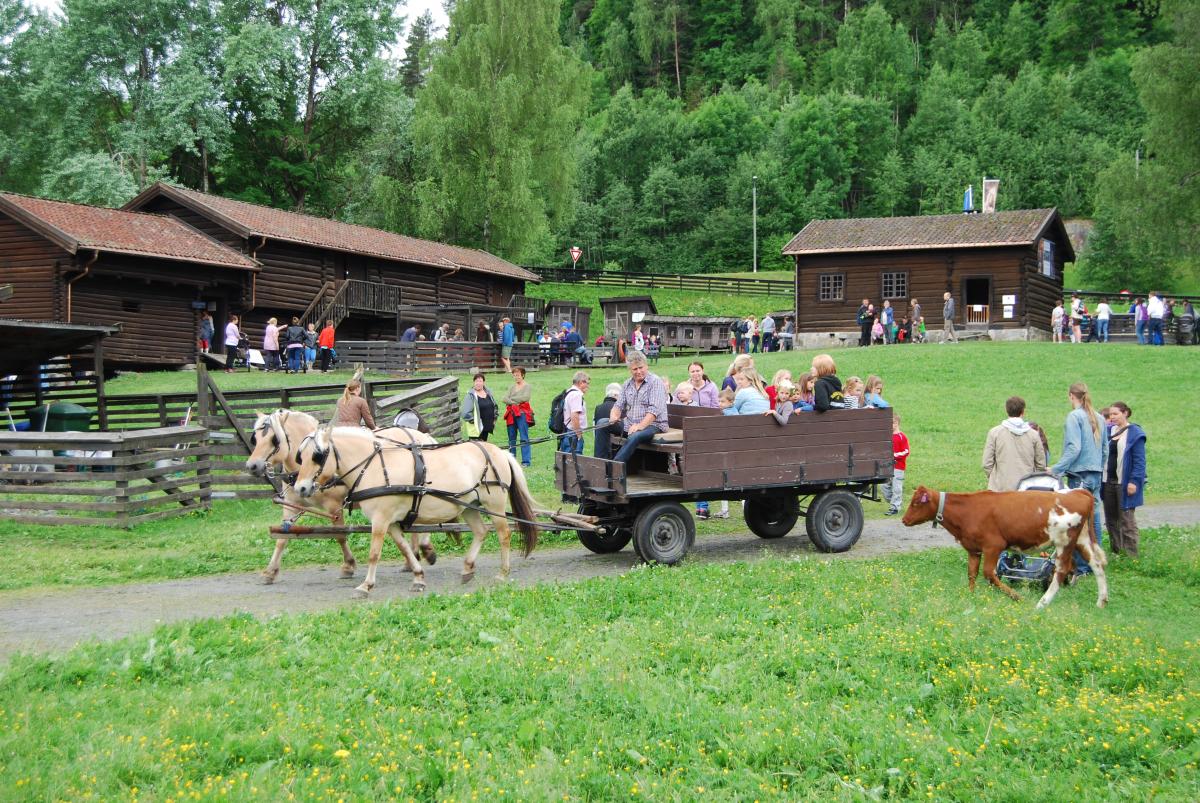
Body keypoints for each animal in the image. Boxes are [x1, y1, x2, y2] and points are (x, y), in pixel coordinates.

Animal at [243, 412, 436, 583]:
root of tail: (424, 437)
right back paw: (412, 559)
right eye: (255, 438)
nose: (252, 465)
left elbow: (340, 535)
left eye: (274, 439)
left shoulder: (334, 506)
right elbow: (282, 537)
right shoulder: (291, 504)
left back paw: (426, 550)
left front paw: (348, 566)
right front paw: (270, 571)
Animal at [290, 424, 540, 595]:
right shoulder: (391, 522)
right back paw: (468, 569)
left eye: (318, 456)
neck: (373, 466)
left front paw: (366, 585)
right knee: (481, 532)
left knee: (504, 534)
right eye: (301, 456)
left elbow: (374, 553)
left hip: (494, 503)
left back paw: (502, 573)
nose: (300, 487)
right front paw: (418, 577)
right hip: (468, 506)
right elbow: (405, 549)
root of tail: (500, 452)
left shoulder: (380, 520)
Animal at [902, 482, 1104, 607]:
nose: (904, 520)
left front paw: (1017, 597)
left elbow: (989, 574)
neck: (969, 509)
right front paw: (970, 596)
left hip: (1065, 542)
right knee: (1097, 565)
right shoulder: (973, 549)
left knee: (1061, 571)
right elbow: (972, 574)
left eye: (915, 503)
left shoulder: (993, 546)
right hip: (1081, 540)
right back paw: (1102, 601)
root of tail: (1078, 492)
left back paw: (1042, 603)